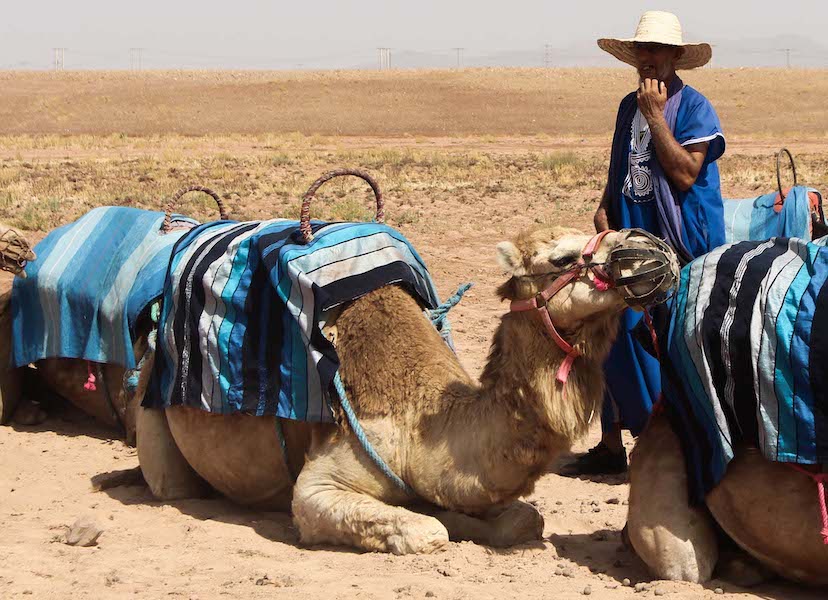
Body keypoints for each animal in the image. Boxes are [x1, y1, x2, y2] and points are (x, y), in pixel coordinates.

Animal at [0, 220, 677, 554]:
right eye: (563, 258)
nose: (653, 251)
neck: (423, 422)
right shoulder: (327, 476)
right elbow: (422, 531)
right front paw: (434, 525)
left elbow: (522, 522)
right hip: (150, 403)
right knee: (170, 483)